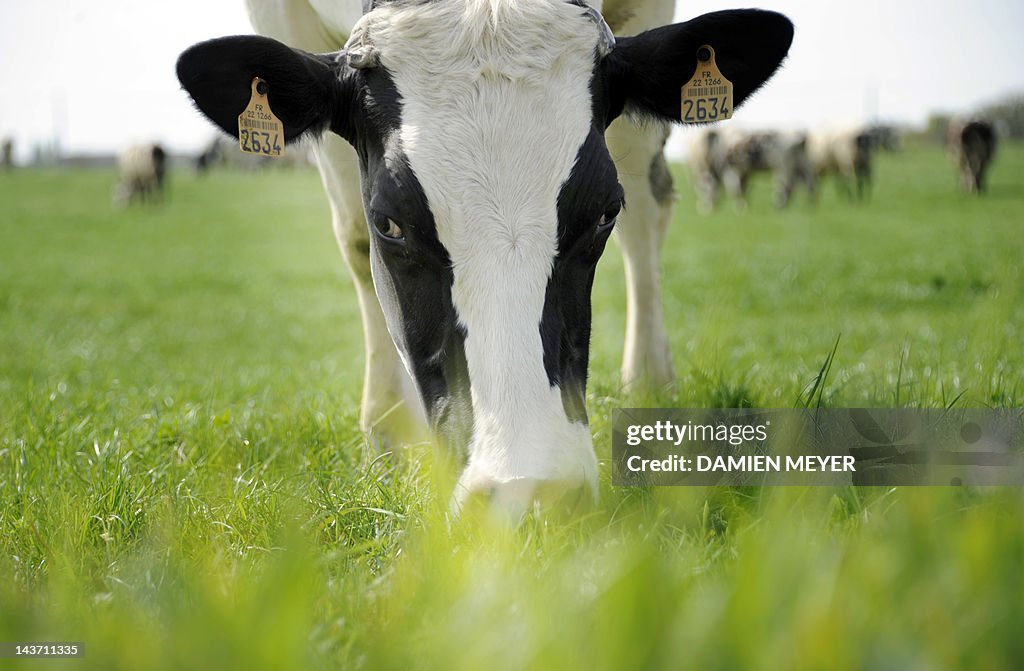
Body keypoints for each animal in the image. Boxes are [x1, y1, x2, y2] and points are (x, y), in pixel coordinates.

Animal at [176, 0, 790, 514]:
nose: (529, 492)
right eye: (388, 223)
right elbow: (351, 234)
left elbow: (639, 200)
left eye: (603, 213)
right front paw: (389, 437)